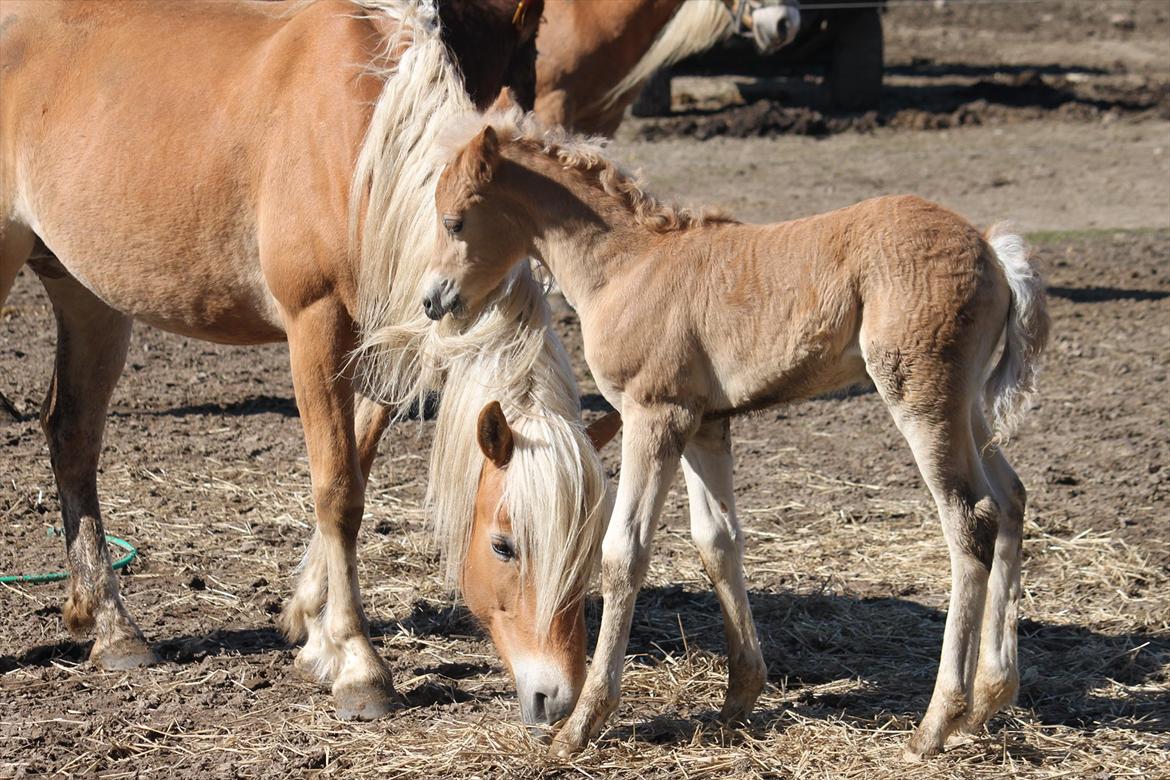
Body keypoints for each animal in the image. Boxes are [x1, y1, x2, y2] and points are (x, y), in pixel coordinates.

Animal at [2, 1, 613, 734]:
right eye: (504, 545)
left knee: (71, 434)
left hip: (88, 295)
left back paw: (111, 626)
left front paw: (312, 629)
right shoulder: (314, 325)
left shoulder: (392, 340)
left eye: (590, 546)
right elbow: (338, 492)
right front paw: (358, 665)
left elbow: (359, 464)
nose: (557, 697)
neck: (364, 151)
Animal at [425, 100, 1057, 757]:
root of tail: (992, 252)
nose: (433, 300)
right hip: (968, 409)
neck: (628, 266)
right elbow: (718, 542)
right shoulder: (705, 423)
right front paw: (737, 700)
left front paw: (583, 724)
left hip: (921, 397)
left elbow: (625, 553)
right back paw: (989, 700)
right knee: (1010, 499)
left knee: (969, 521)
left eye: (454, 221)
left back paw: (936, 723)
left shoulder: (655, 414)